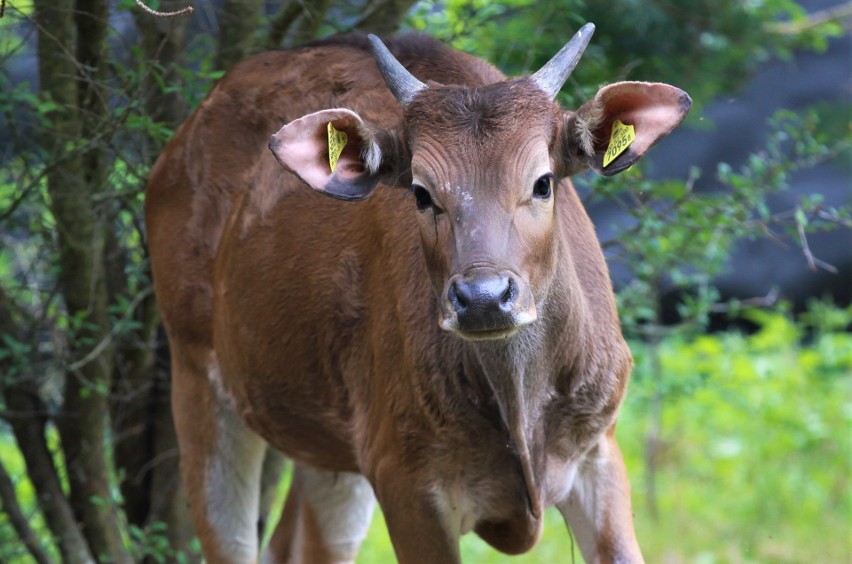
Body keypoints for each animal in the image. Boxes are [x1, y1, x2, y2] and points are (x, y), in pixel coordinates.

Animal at [146, 24, 688, 560]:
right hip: (196, 372)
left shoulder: (599, 452)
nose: (483, 298)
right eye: (422, 192)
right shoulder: (405, 479)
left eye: (543, 181)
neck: (522, 416)